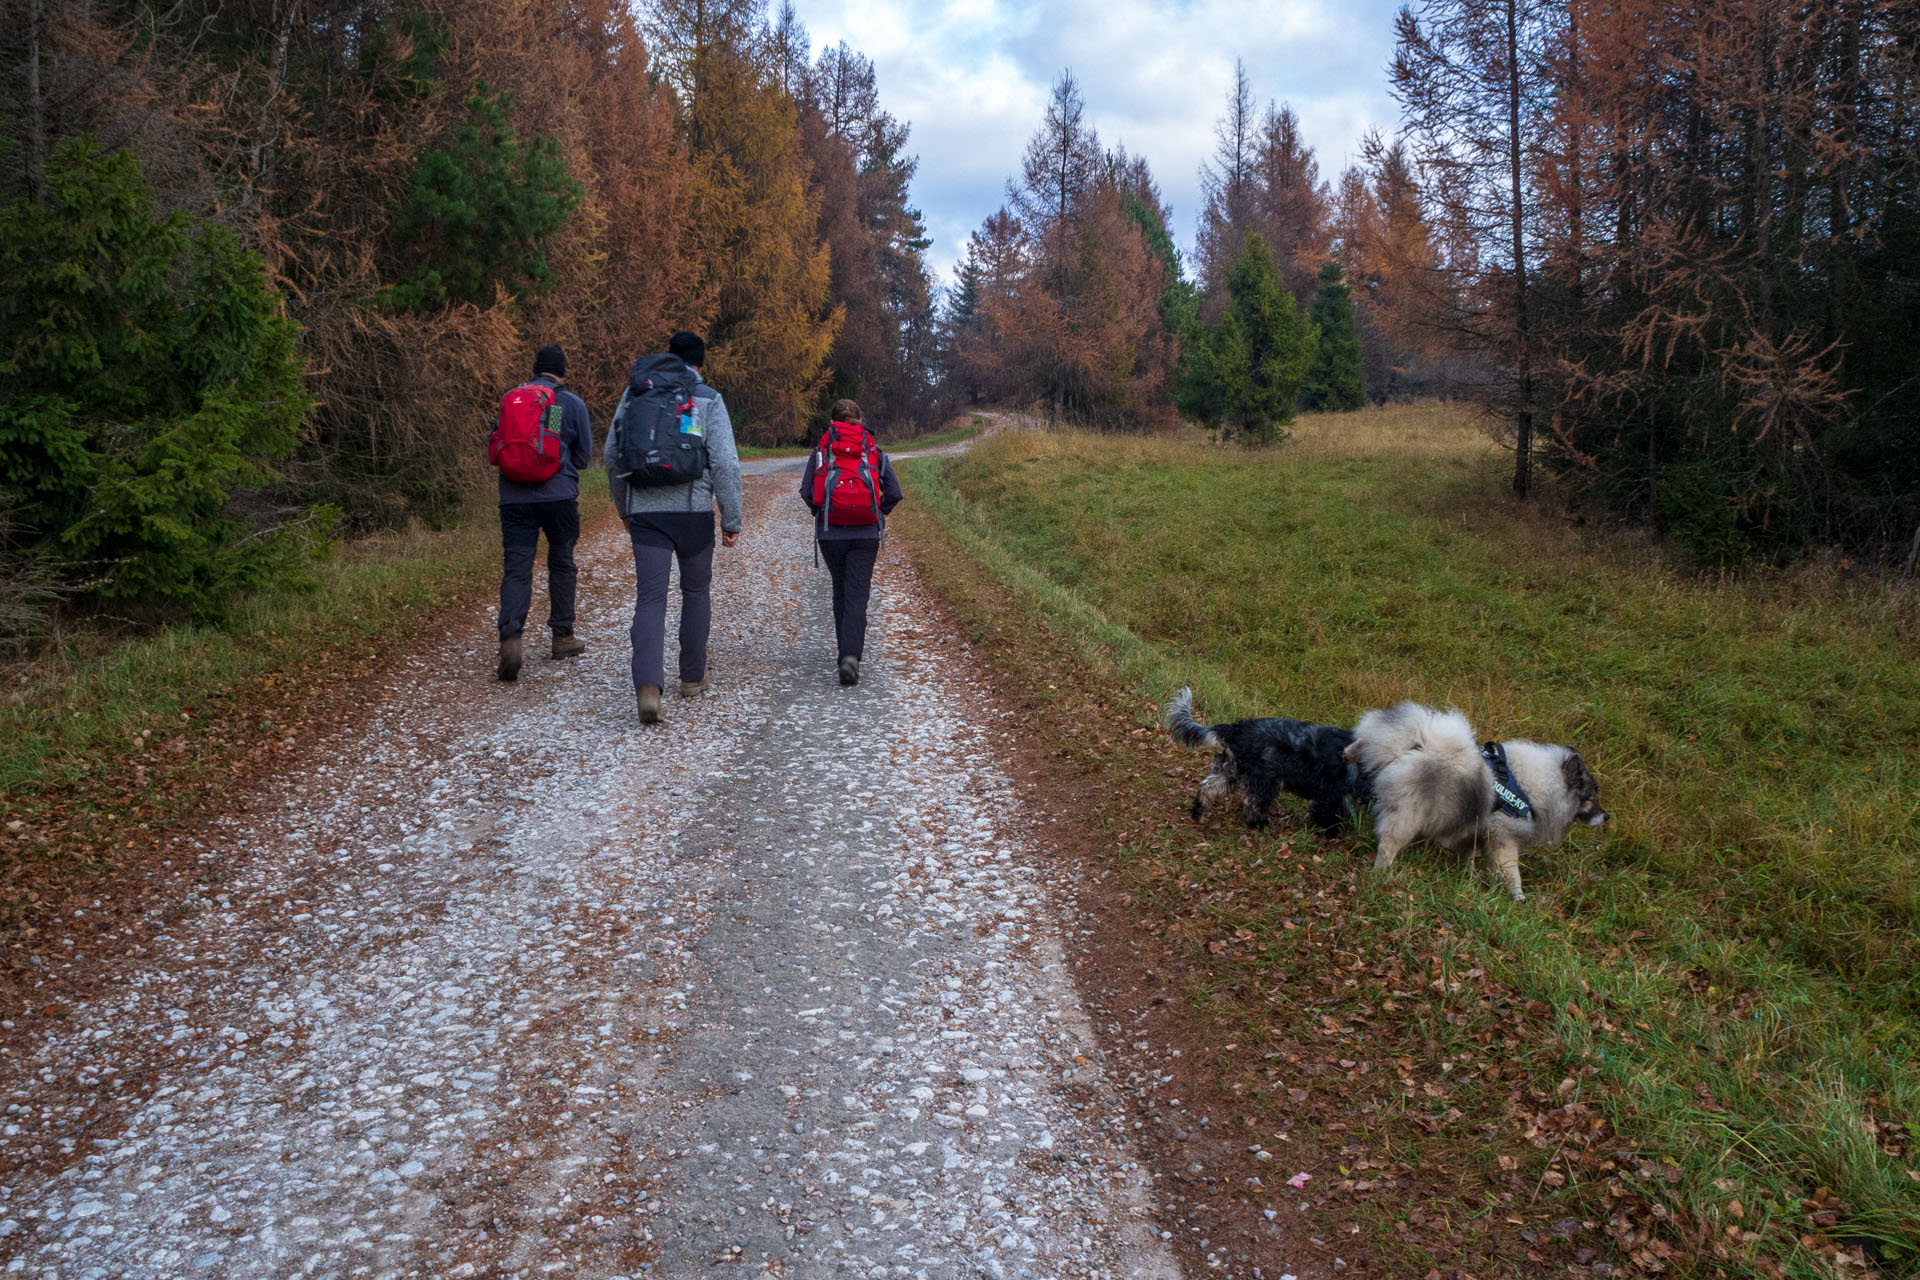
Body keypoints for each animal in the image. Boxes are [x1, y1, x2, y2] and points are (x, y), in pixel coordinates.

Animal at [1159, 687, 1374, 836]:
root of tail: (1235, 729)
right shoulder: (1330, 793)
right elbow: (1328, 813)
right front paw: (1329, 833)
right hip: (1265, 779)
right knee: (1252, 802)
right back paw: (1259, 824)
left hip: (1230, 771)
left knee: (1206, 787)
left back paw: (1198, 812)